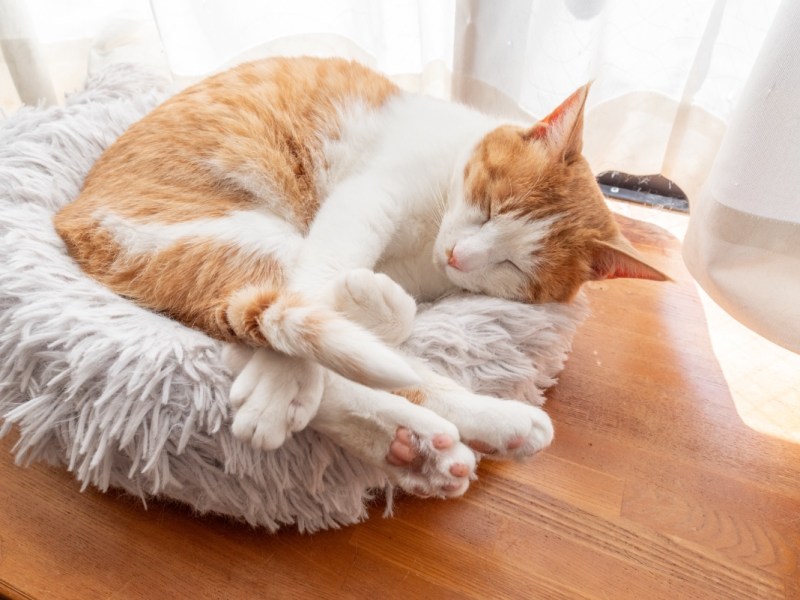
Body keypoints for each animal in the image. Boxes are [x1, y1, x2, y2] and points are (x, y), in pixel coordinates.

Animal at [54, 57, 668, 496]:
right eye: (491, 206)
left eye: (515, 265)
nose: (462, 256)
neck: (430, 237)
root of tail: (70, 218)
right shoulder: (370, 199)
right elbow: (319, 295)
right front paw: (283, 381)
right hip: (251, 240)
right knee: (309, 335)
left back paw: (422, 446)